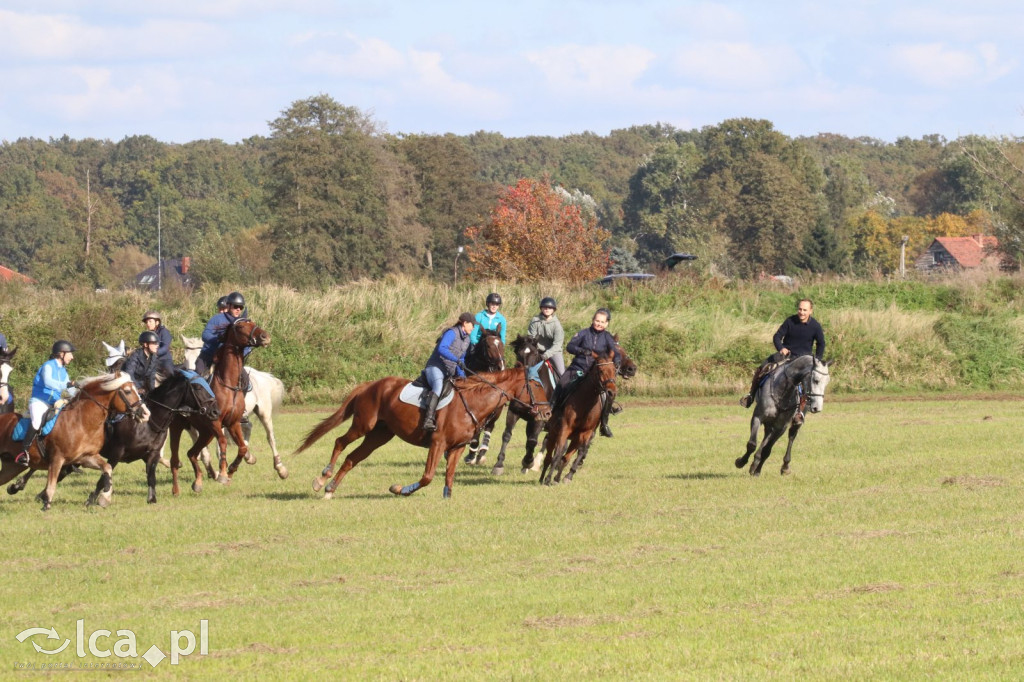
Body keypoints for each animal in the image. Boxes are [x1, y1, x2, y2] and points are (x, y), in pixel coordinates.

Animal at [0, 372, 149, 509]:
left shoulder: (85, 457)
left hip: (12, 467)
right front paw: (46, 505)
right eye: (128, 391)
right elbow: (51, 484)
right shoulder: (57, 459)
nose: (146, 413)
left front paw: (105, 498)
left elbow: (107, 468)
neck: (83, 422)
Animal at [166, 315, 272, 491]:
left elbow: (242, 447)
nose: (265, 336)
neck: (227, 385)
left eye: (252, 323)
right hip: (179, 427)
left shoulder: (233, 423)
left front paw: (231, 470)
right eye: (241, 327)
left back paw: (198, 482)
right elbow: (222, 442)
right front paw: (222, 474)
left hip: (206, 432)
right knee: (179, 458)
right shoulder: (215, 422)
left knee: (192, 453)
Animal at [179, 331, 284, 471]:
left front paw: (221, 470)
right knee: (248, 427)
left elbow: (218, 449)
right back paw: (248, 456)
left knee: (270, 437)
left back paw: (280, 467)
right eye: (185, 357)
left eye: (198, 357)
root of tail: (262, 375)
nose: (191, 378)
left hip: (264, 412)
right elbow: (203, 451)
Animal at [296, 360, 552, 499]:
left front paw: (446, 498)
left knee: (353, 457)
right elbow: (428, 477)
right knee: (340, 442)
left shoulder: (457, 447)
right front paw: (399, 489)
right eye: (536, 384)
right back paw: (322, 478)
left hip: (380, 435)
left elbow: (449, 477)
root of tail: (370, 385)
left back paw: (330, 489)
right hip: (363, 424)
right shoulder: (438, 443)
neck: (473, 403)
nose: (548, 413)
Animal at [540, 350, 618, 483]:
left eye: (614, 370)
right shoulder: (564, 429)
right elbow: (557, 454)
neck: (586, 402)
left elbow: (570, 457)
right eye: (601, 370)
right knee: (548, 457)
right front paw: (548, 479)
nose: (611, 392)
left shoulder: (585, 434)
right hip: (554, 433)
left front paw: (562, 477)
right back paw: (542, 478)